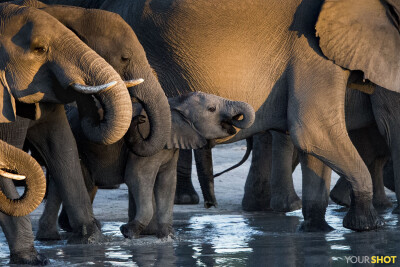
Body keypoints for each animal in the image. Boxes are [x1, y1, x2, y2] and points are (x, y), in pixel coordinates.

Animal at [44, 92, 253, 241]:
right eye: (211, 109)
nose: (210, 206)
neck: (173, 103)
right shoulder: (148, 144)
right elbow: (137, 178)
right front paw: (128, 231)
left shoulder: (170, 148)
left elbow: (167, 184)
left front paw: (168, 236)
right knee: (84, 183)